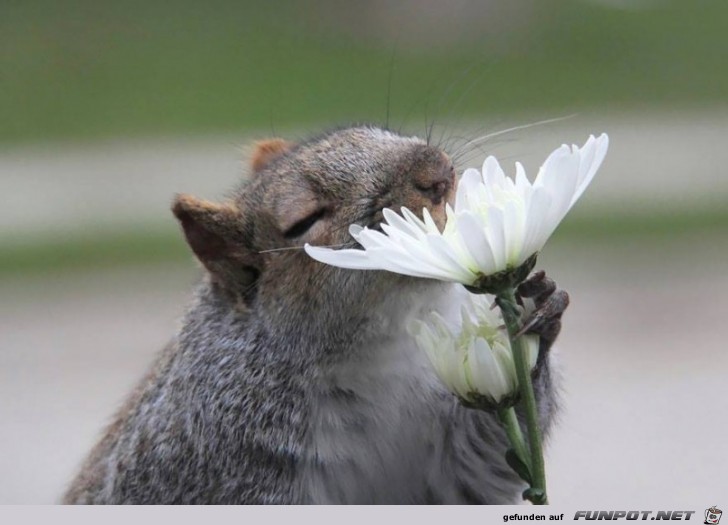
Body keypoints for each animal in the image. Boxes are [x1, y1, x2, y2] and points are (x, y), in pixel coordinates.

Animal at [62, 124, 564, 504]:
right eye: (304, 220)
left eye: (376, 131)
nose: (437, 171)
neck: (380, 350)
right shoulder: (217, 462)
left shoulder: (441, 463)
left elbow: (483, 463)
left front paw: (538, 310)